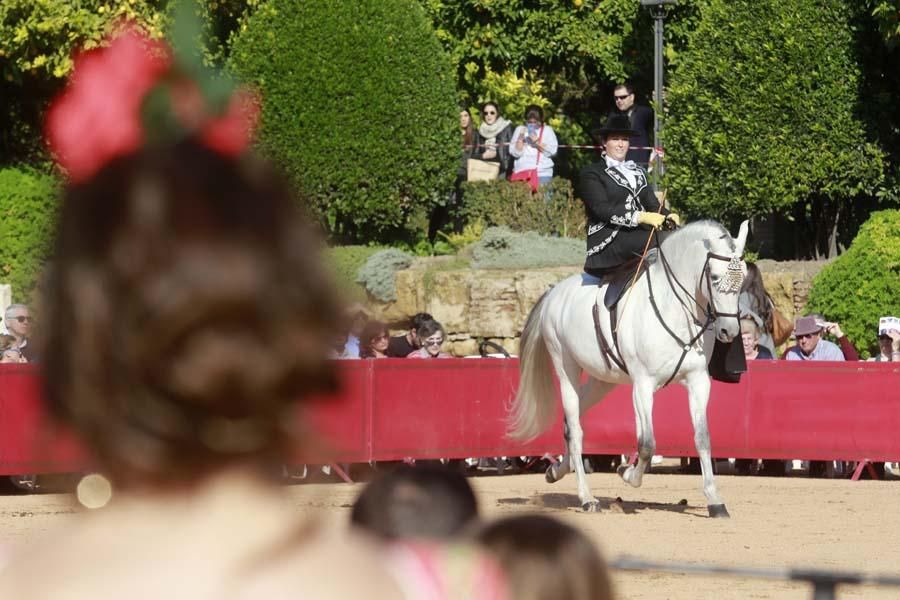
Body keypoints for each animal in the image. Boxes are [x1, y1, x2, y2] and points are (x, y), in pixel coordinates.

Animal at [510, 220, 748, 516]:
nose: (729, 331)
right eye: (714, 277)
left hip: (602, 382)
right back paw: (587, 498)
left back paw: (556, 470)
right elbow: (647, 444)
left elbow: (702, 437)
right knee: (575, 429)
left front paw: (715, 500)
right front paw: (628, 474)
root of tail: (553, 291)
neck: (675, 307)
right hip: (566, 370)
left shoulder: (697, 382)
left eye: (743, 278)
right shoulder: (643, 385)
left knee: (570, 421)